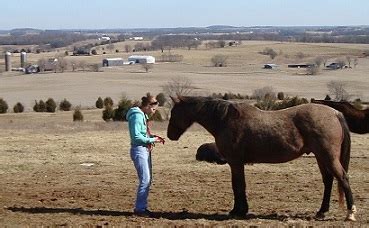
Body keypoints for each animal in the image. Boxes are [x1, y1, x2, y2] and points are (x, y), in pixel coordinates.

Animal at [167, 95, 356, 221]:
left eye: (174, 113)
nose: (170, 135)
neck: (225, 120)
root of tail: (335, 113)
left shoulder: (235, 162)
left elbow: (238, 185)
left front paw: (238, 211)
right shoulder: (236, 163)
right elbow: (238, 185)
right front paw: (239, 210)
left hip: (328, 156)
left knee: (343, 178)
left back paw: (350, 213)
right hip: (320, 157)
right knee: (328, 180)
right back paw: (322, 211)